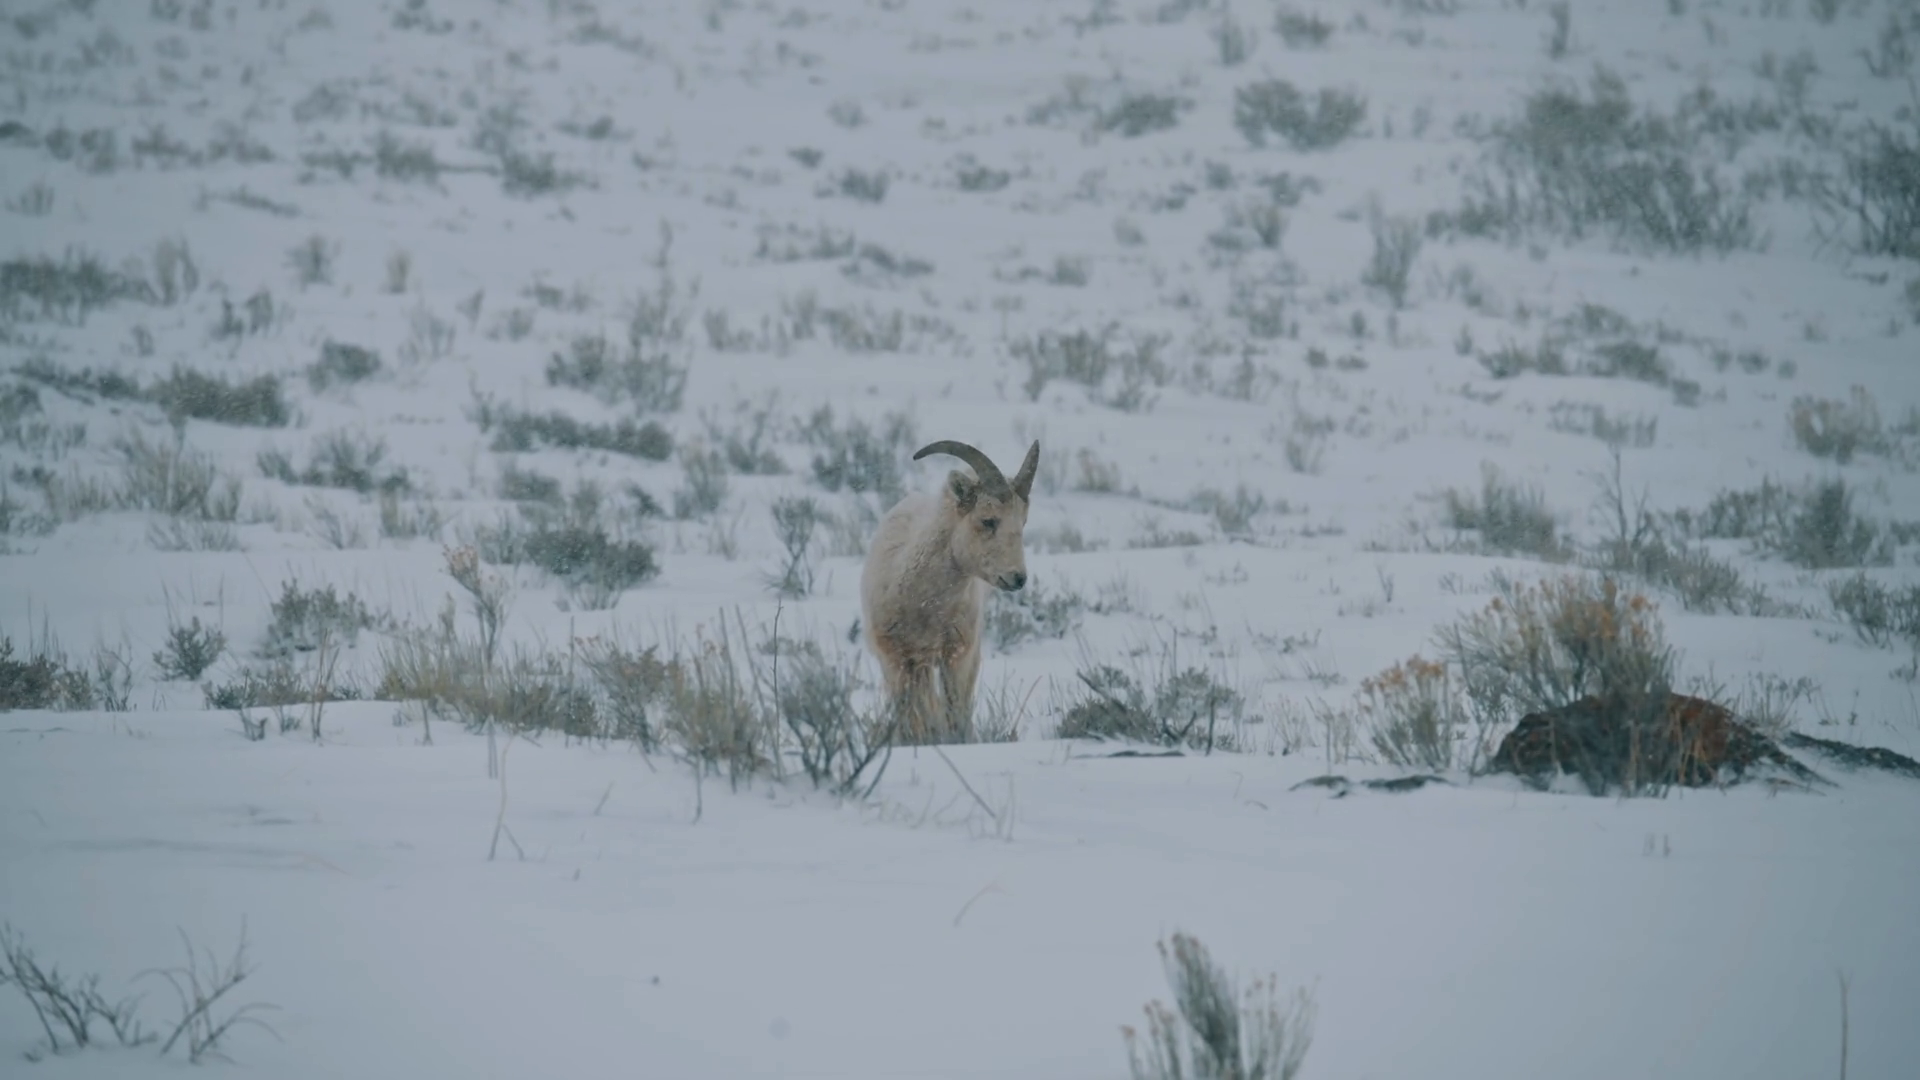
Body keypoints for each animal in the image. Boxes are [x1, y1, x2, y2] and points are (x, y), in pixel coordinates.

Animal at [860, 439, 1041, 744]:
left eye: (1023, 521)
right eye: (988, 520)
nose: (1017, 578)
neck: (922, 604)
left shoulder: (957, 658)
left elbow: (955, 716)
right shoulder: (896, 661)